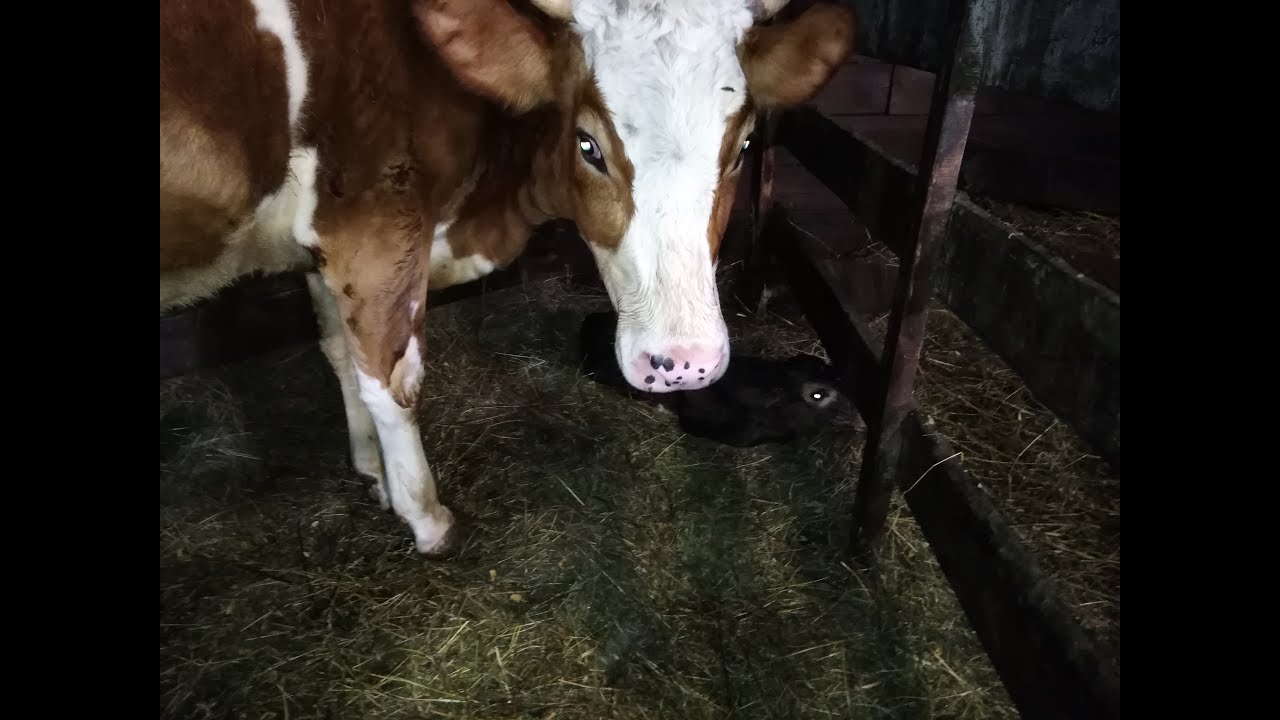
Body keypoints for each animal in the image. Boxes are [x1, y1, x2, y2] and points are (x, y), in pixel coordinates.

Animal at [159, 0, 857, 558]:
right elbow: (392, 385)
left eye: (743, 148)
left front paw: (372, 471)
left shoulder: (324, 248)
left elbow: (340, 354)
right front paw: (427, 519)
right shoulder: (375, 231)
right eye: (588, 146)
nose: (685, 364)